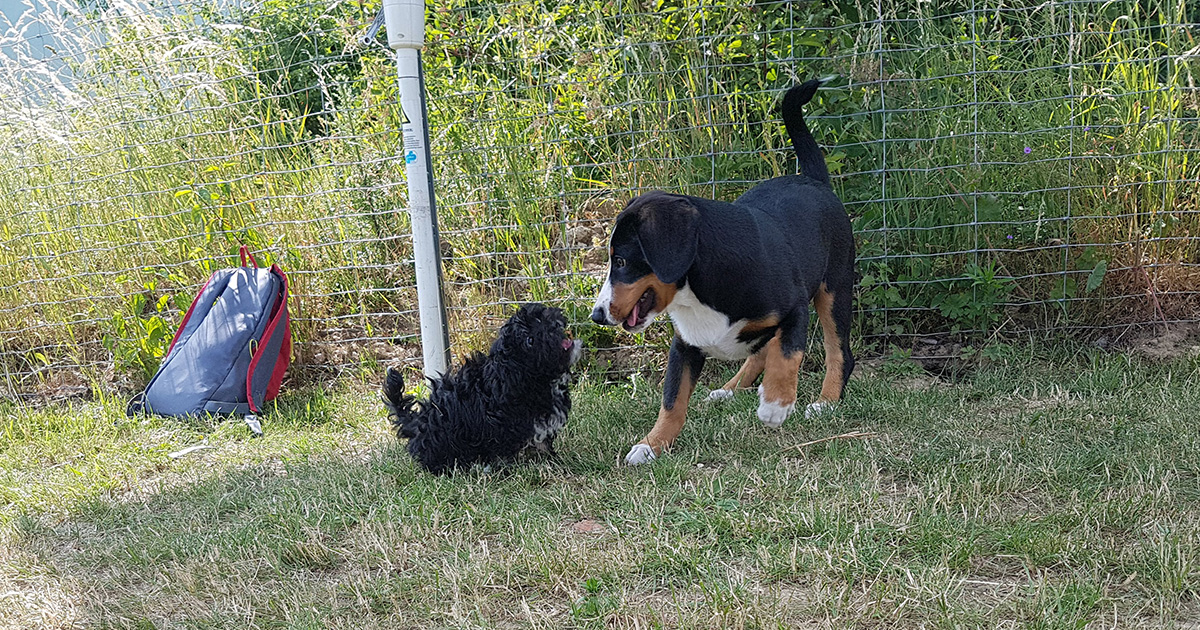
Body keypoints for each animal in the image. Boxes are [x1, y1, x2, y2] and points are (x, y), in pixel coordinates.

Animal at [384, 303, 585, 470]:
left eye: (539, 317)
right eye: (530, 340)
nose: (554, 324)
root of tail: (418, 421)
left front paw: (552, 458)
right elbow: (505, 451)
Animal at [588, 77, 854, 460]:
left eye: (621, 261)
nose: (596, 315)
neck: (697, 294)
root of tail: (812, 179)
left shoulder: (794, 309)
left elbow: (788, 353)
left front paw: (776, 404)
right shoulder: (684, 345)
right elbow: (672, 400)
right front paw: (651, 445)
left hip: (834, 289)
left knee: (837, 351)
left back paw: (825, 401)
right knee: (761, 350)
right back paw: (729, 389)